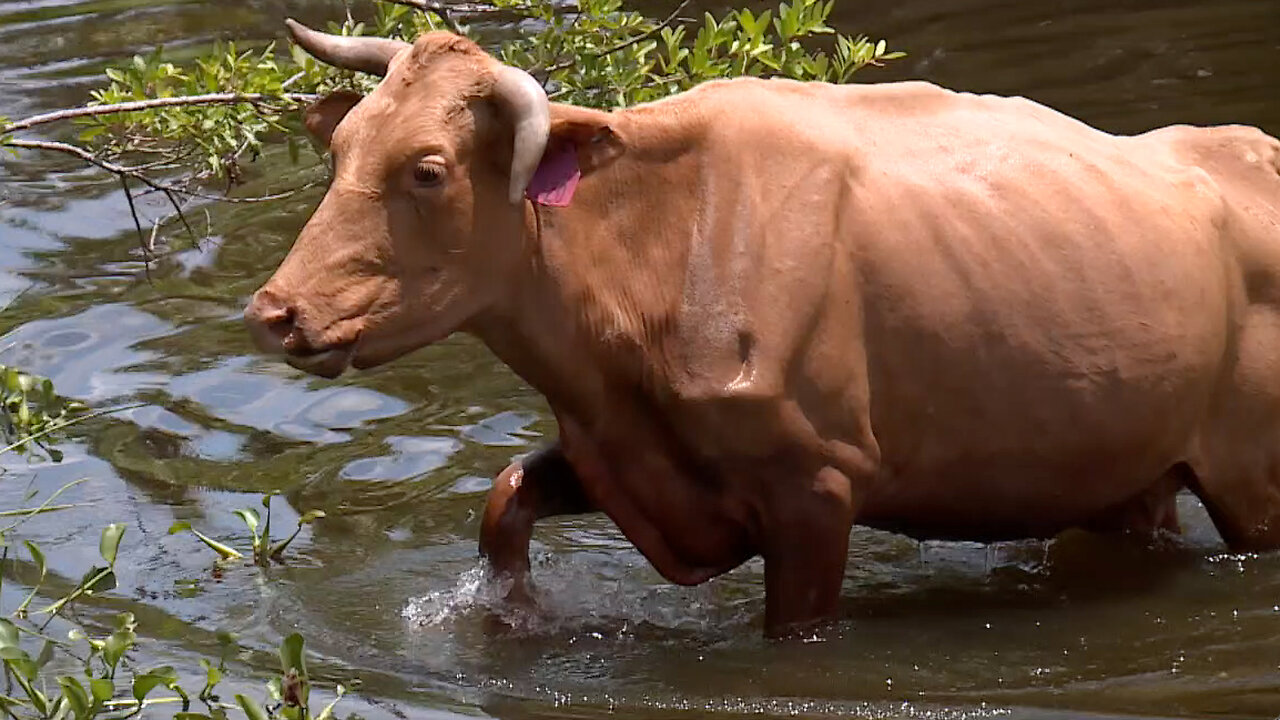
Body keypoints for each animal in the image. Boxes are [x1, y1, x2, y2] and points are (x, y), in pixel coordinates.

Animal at [247, 19, 1280, 632]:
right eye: (341, 147)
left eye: (428, 168)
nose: (272, 312)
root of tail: (1248, 148)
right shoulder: (627, 452)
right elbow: (506, 499)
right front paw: (512, 615)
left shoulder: (815, 484)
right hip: (1131, 468)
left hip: (1252, 481)